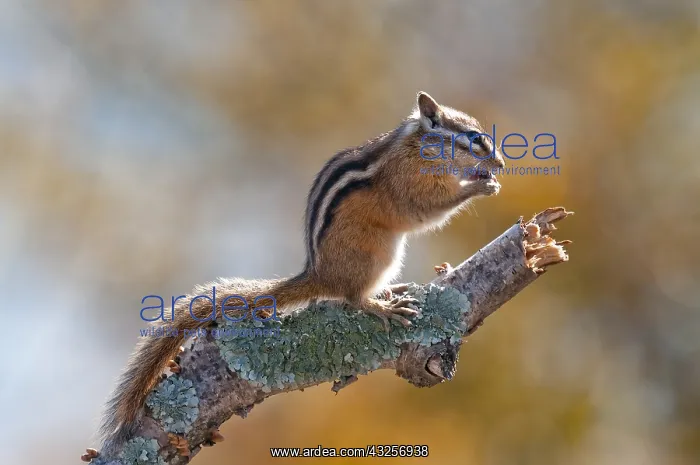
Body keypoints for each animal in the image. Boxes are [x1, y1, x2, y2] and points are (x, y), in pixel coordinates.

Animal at [98, 91, 505, 452]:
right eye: (475, 139)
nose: (500, 164)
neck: (419, 146)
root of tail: (318, 273)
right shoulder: (411, 187)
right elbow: (428, 210)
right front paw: (480, 186)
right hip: (378, 254)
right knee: (352, 298)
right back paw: (382, 305)